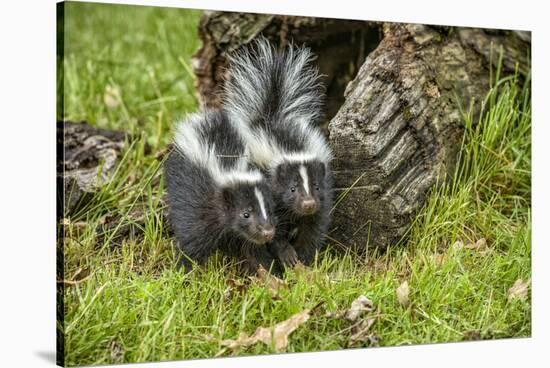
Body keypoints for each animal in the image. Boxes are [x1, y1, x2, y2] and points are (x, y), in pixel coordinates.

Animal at [163, 109, 278, 274]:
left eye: (269, 210)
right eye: (246, 214)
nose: (268, 232)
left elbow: (253, 250)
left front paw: (268, 271)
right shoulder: (199, 208)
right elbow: (192, 242)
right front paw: (183, 271)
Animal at [222, 38, 334, 268]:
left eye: (317, 186)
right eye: (292, 188)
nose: (308, 204)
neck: (289, 150)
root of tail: (270, 116)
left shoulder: (323, 198)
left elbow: (314, 227)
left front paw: (305, 258)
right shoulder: (270, 195)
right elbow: (274, 230)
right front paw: (288, 255)